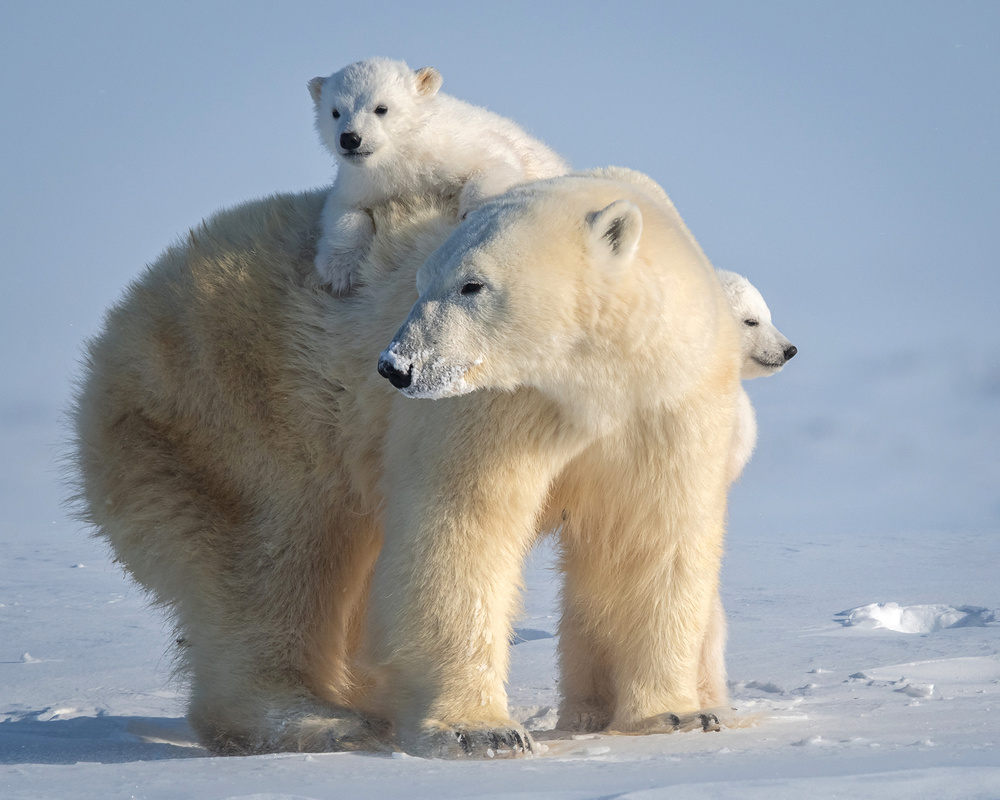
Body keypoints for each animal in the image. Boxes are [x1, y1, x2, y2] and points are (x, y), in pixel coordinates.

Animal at [74, 169, 744, 756]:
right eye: (421, 282)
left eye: (473, 284)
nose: (396, 367)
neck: (591, 384)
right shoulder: (490, 405)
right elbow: (459, 529)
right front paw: (481, 731)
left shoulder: (662, 406)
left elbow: (652, 540)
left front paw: (676, 714)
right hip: (235, 401)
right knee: (273, 555)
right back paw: (319, 719)